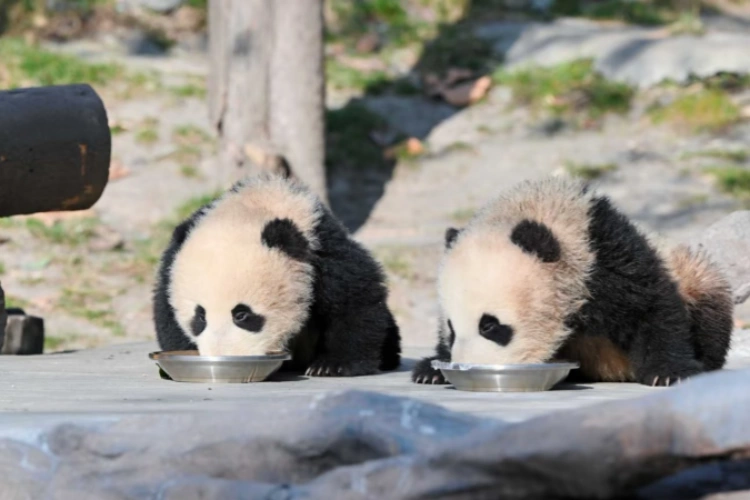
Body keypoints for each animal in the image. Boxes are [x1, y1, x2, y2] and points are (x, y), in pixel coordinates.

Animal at [153, 172, 401, 377]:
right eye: (200, 317)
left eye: (242, 315)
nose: (225, 353)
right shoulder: (172, 261)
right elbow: (166, 312)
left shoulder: (321, 250)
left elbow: (354, 299)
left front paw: (333, 365)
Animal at [412, 176, 734, 387]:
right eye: (451, 329)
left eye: (489, 325)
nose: (467, 363)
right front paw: (432, 369)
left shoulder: (604, 255)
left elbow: (652, 306)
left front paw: (667, 373)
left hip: (693, 274)